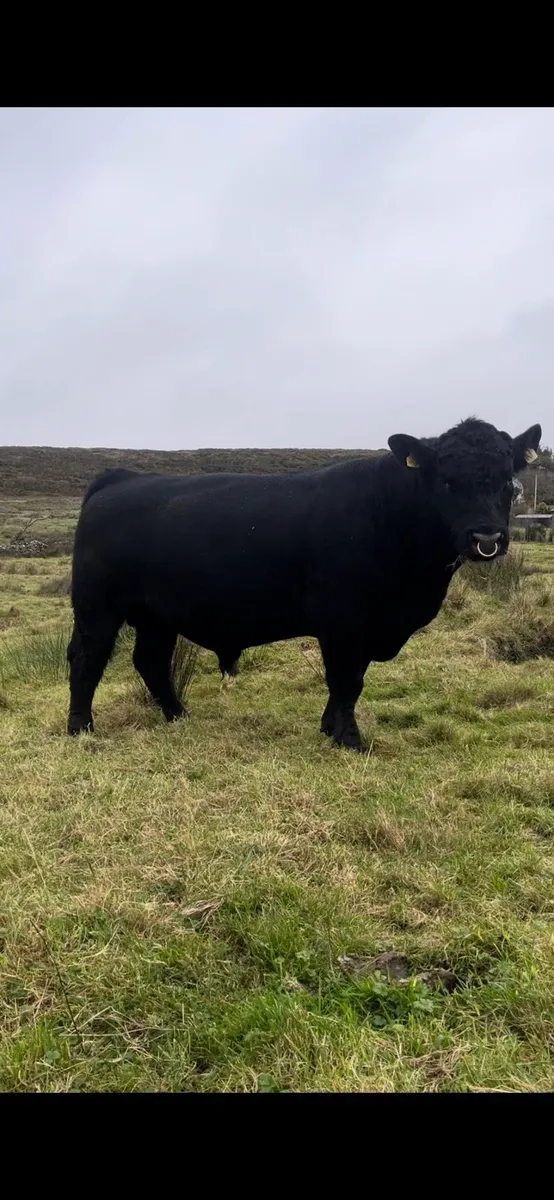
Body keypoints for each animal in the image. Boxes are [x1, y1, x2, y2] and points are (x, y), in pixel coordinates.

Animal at [67, 417, 541, 750]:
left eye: (509, 482)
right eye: (447, 480)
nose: (486, 538)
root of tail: (121, 478)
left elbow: (351, 680)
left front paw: (330, 728)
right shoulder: (343, 619)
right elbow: (346, 679)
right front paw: (349, 740)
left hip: (156, 614)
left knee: (150, 661)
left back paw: (178, 715)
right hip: (97, 606)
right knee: (87, 659)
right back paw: (81, 728)